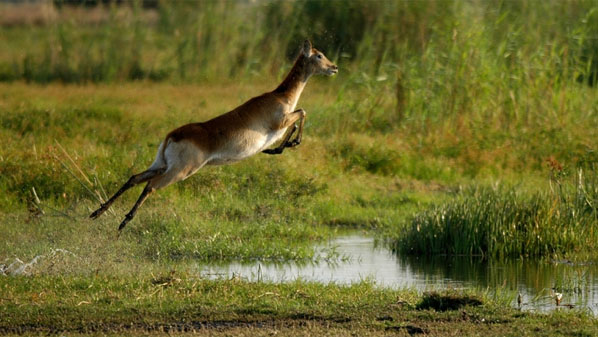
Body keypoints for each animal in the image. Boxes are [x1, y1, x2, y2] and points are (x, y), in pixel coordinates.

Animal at [89, 40, 338, 231]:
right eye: (319, 55)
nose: (334, 67)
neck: (281, 96)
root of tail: (172, 135)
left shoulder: (284, 123)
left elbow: (298, 120)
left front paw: (277, 148)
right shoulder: (281, 120)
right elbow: (303, 112)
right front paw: (283, 146)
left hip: (162, 163)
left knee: (134, 178)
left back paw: (97, 213)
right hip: (181, 171)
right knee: (150, 185)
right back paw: (123, 222)